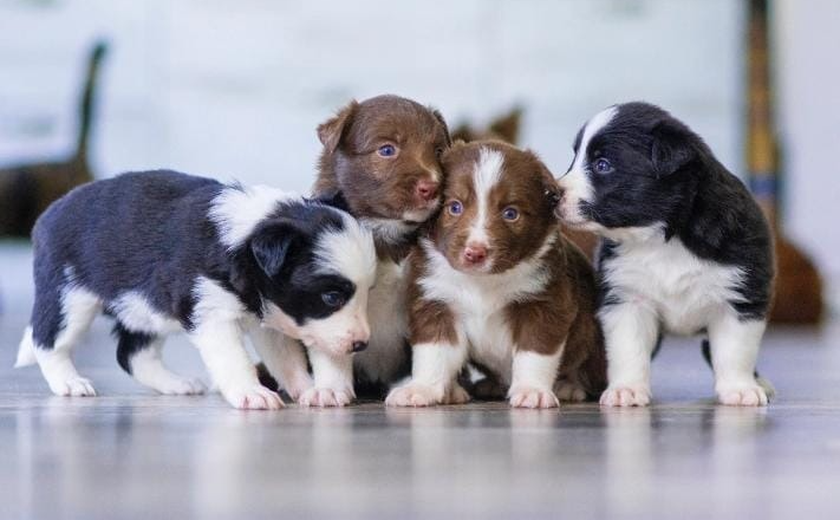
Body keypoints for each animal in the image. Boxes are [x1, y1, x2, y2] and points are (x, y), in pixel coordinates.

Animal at [15, 171, 378, 410]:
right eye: (331, 297)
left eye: (368, 292)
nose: (361, 344)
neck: (246, 239)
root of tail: (48, 214)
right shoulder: (211, 314)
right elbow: (235, 359)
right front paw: (252, 394)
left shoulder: (272, 318)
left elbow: (286, 359)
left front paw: (310, 389)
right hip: (70, 295)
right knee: (48, 341)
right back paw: (69, 382)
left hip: (142, 307)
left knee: (132, 354)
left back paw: (176, 384)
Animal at [384, 140, 608, 408]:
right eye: (454, 207)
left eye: (511, 213)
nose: (475, 253)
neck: (482, 281)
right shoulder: (436, 302)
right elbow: (433, 352)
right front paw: (421, 388)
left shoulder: (544, 303)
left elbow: (533, 353)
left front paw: (531, 390)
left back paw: (569, 386)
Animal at [556, 103, 776, 408]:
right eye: (574, 158)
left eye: (603, 165)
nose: (552, 194)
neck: (662, 238)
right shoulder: (627, 298)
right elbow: (627, 349)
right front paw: (626, 389)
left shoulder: (739, 297)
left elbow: (734, 350)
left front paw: (740, 389)